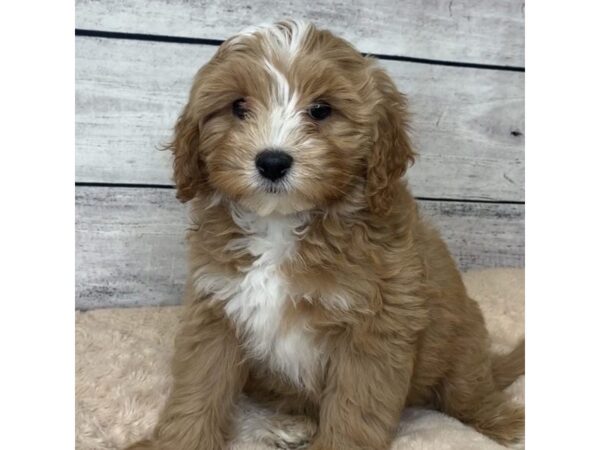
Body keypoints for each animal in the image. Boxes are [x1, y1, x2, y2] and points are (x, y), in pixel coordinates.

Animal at [124, 19, 524, 448]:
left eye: (321, 110)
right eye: (238, 107)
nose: (272, 161)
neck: (282, 224)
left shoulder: (375, 327)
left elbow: (354, 410)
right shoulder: (216, 309)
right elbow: (198, 389)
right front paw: (179, 441)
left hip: (461, 338)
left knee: (468, 392)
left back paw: (503, 420)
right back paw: (290, 423)